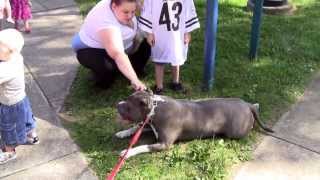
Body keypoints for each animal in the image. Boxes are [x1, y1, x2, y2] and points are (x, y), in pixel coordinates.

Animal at [115, 91, 272, 158]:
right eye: (126, 98)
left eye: (128, 106)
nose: (118, 104)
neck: (154, 106)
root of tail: (247, 105)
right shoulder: (150, 125)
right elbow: (136, 127)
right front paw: (123, 132)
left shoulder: (164, 144)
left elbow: (143, 146)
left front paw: (127, 152)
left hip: (236, 131)